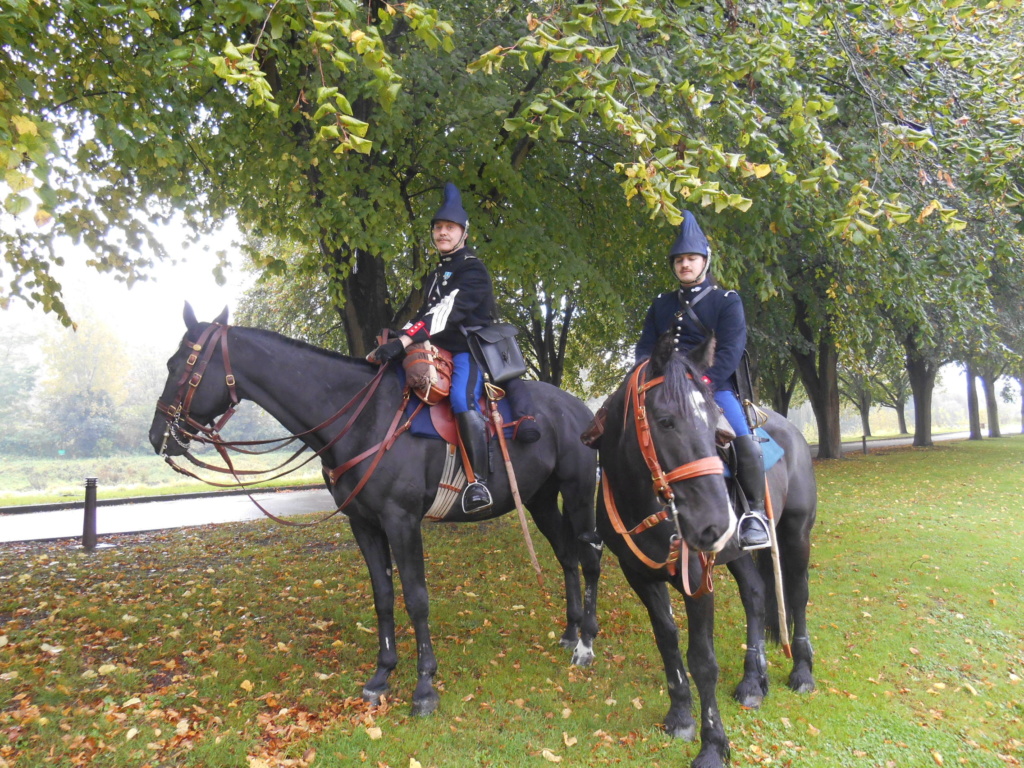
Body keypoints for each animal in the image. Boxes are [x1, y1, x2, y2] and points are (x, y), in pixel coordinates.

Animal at [148, 305, 602, 716]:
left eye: (177, 364)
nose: (157, 436)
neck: (363, 417)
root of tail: (580, 408)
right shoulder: (364, 524)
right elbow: (383, 595)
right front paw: (383, 675)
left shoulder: (402, 522)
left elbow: (416, 598)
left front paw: (424, 686)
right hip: (540, 500)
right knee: (566, 556)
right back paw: (569, 631)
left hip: (580, 494)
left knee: (589, 558)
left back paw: (585, 644)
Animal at [598, 335, 811, 768]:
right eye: (665, 421)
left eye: (719, 430)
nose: (715, 522)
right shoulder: (639, 575)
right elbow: (667, 641)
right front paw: (681, 715)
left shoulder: (698, 580)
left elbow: (703, 660)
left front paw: (713, 744)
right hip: (739, 554)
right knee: (756, 596)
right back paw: (753, 681)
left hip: (796, 534)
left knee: (796, 595)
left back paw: (802, 672)